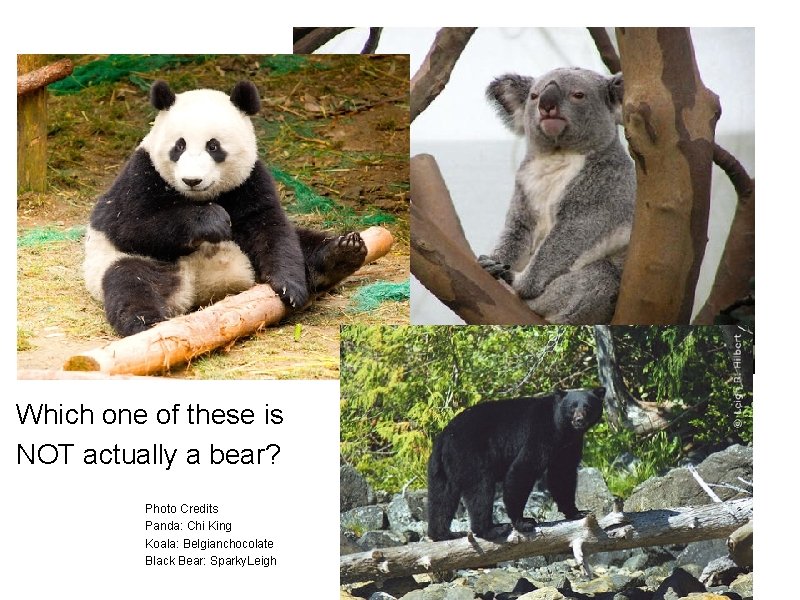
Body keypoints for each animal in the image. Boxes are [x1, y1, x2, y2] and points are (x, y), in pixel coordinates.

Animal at [84, 79, 368, 337]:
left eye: (213, 146)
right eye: (179, 145)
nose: (192, 180)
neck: (199, 197)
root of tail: (200, 287)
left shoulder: (249, 180)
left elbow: (270, 227)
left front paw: (290, 287)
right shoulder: (140, 175)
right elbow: (130, 225)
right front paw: (213, 220)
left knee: (303, 241)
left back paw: (343, 253)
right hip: (131, 262)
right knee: (130, 283)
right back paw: (146, 325)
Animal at [426, 387, 605, 541]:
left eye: (587, 406)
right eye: (572, 407)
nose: (579, 420)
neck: (562, 428)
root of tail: (445, 435)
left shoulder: (568, 444)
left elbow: (563, 473)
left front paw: (577, 512)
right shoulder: (541, 433)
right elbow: (523, 468)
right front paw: (523, 522)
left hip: (442, 467)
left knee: (441, 496)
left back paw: (444, 534)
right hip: (470, 454)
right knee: (480, 489)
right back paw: (492, 529)